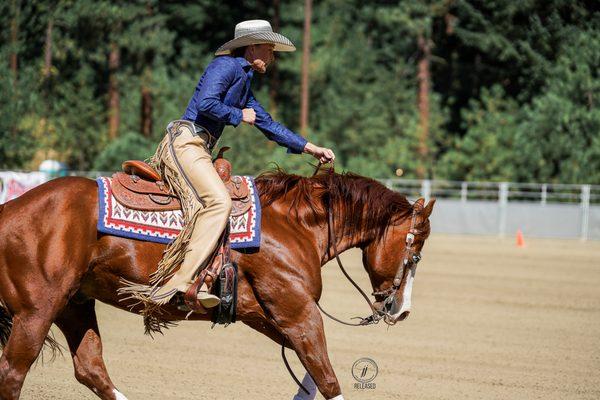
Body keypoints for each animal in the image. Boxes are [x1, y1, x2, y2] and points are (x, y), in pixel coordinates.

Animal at [0, 170, 434, 400]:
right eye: (414, 251)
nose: (401, 310)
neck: (295, 225)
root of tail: (10, 209)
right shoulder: (298, 313)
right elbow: (326, 377)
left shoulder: (266, 315)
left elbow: (311, 376)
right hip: (37, 311)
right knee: (13, 371)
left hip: (74, 304)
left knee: (91, 369)